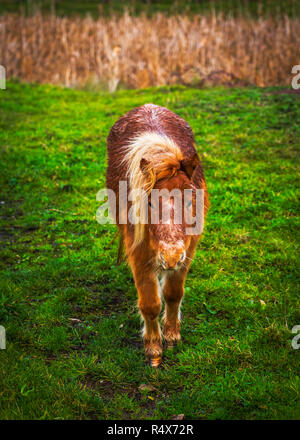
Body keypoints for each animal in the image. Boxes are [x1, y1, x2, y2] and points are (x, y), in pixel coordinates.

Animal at [106, 105, 209, 366]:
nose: (170, 256)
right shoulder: (139, 254)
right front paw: (153, 349)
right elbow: (150, 304)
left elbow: (173, 294)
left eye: (191, 200)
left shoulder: (187, 251)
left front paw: (171, 335)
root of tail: (148, 107)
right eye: (150, 203)